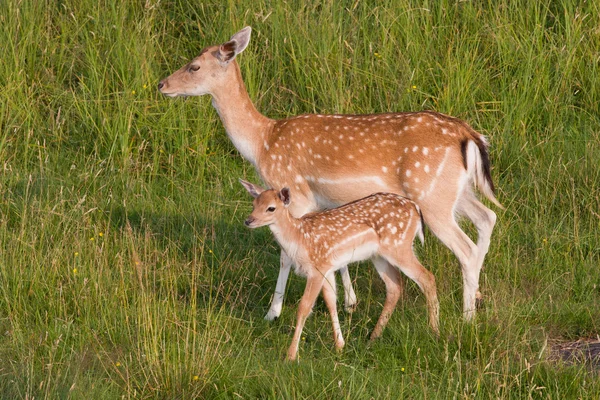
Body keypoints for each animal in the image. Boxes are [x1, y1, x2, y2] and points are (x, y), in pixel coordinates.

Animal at [158, 26, 502, 320]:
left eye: (194, 66)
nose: (162, 85)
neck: (262, 143)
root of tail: (469, 135)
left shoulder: (294, 193)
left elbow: (285, 253)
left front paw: (273, 312)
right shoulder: (324, 203)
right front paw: (349, 302)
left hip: (431, 195)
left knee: (466, 247)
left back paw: (466, 317)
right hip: (456, 191)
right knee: (488, 217)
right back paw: (478, 298)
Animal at [240, 180, 440, 360]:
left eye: (271, 208)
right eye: (253, 204)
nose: (248, 220)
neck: (300, 240)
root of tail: (416, 208)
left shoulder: (316, 268)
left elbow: (304, 307)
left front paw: (290, 355)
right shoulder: (327, 268)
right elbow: (331, 301)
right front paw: (340, 345)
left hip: (399, 246)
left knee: (427, 277)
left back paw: (434, 331)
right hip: (379, 255)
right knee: (395, 286)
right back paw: (373, 337)